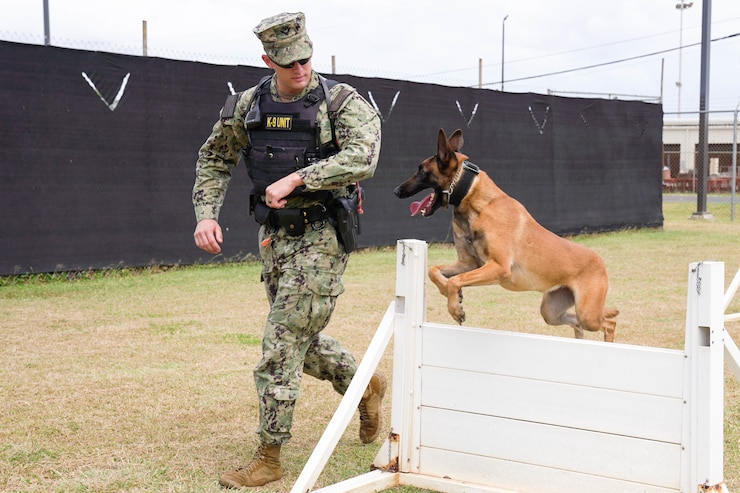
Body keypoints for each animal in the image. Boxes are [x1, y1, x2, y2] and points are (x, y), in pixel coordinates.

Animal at [394, 129, 620, 340]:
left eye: (421, 170)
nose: (396, 191)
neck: (478, 203)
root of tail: (600, 262)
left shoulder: (498, 267)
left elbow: (455, 280)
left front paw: (455, 308)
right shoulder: (468, 264)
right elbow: (435, 271)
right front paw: (451, 295)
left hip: (588, 313)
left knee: (609, 323)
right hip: (552, 312)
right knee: (579, 324)